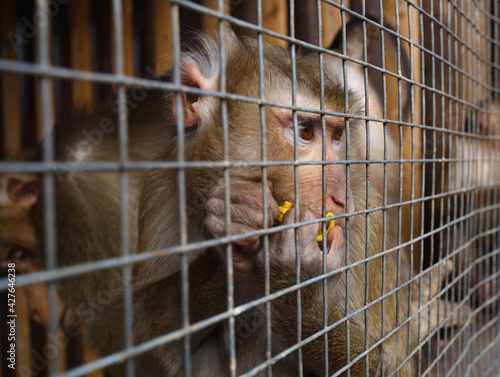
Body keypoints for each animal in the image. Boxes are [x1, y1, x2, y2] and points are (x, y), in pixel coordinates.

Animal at [132, 24, 414, 376]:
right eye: (305, 130)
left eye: (337, 135)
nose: (340, 198)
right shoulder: (163, 185)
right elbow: (144, 347)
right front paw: (233, 227)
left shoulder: (366, 220)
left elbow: (391, 363)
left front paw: (298, 276)